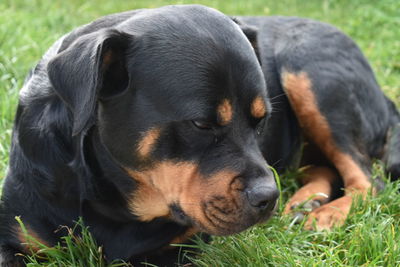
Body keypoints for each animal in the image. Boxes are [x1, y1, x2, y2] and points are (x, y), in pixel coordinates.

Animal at [0, 4, 400, 267]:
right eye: (201, 125)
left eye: (261, 121)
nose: (268, 198)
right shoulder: (14, 235)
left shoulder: (182, 248)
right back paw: (307, 203)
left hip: (312, 71)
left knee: (368, 180)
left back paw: (326, 215)